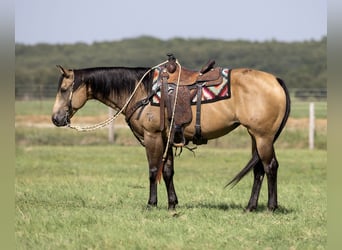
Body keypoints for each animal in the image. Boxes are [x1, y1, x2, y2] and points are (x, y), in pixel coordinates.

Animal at [52, 55, 290, 211]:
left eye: (63, 89)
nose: (56, 118)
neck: (142, 91)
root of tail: (275, 80)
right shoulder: (167, 138)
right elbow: (167, 172)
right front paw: (172, 204)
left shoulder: (152, 136)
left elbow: (152, 170)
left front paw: (151, 204)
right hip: (255, 136)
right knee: (258, 169)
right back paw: (250, 207)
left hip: (263, 137)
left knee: (271, 167)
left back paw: (271, 207)